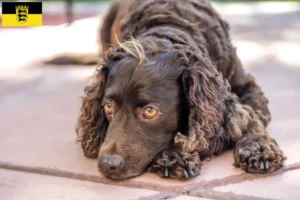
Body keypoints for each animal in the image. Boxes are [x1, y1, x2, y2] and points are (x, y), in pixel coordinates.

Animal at [49, 0, 286, 180]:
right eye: (108, 106)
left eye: (150, 111)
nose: (108, 164)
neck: (169, 27)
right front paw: (175, 156)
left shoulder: (247, 88)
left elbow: (251, 117)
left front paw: (259, 149)